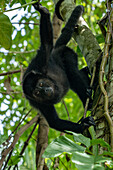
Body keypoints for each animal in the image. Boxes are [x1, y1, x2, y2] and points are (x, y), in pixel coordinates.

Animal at [22, 1, 94, 134]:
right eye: (37, 92)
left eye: (40, 84)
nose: (45, 90)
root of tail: (56, 50)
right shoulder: (36, 103)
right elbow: (54, 122)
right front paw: (83, 125)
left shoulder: (40, 62)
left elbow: (46, 44)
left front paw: (43, 11)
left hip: (66, 52)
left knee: (72, 72)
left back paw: (88, 98)